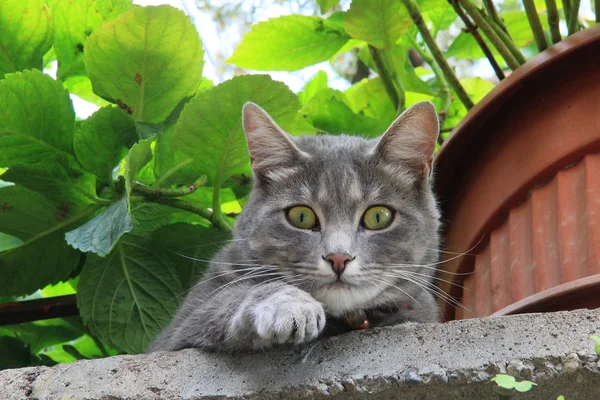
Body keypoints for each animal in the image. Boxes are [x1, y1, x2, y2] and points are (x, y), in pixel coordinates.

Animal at [147, 101, 440, 354]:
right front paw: (291, 306)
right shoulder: (175, 332)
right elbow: (234, 297)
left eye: (378, 217)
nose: (338, 257)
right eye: (301, 216)